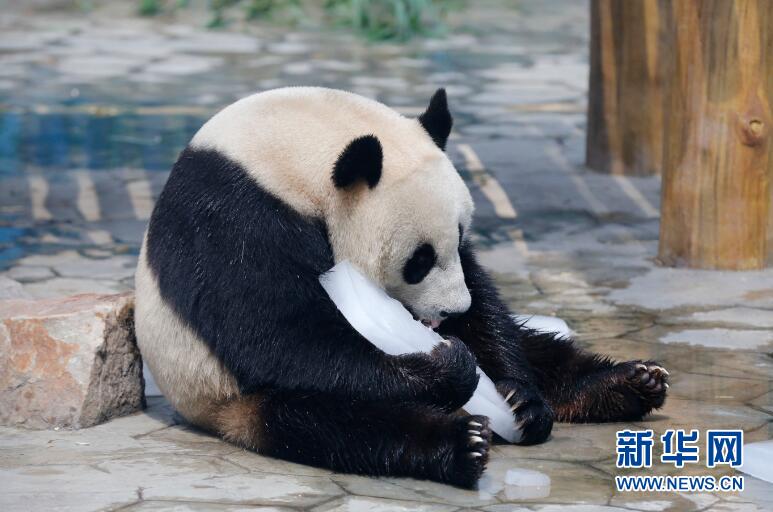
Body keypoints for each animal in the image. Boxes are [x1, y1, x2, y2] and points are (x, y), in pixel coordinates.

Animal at [136, 87, 668, 488]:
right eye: (420, 260)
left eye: (459, 235)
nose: (450, 313)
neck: (286, 151)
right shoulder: (232, 219)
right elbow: (275, 331)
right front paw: (446, 368)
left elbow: (486, 305)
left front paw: (519, 397)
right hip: (230, 396)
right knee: (335, 423)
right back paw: (463, 445)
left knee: (537, 347)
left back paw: (627, 384)